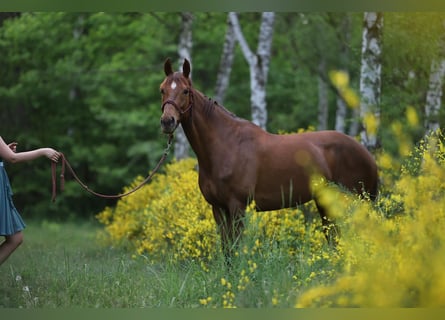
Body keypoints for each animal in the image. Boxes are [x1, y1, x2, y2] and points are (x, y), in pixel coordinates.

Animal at [158, 57, 376, 258]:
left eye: (185, 91)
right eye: (162, 90)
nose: (167, 121)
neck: (226, 145)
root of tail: (366, 153)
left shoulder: (237, 206)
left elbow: (236, 250)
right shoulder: (218, 208)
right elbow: (227, 252)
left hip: (357, 202)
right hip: (326, 203)